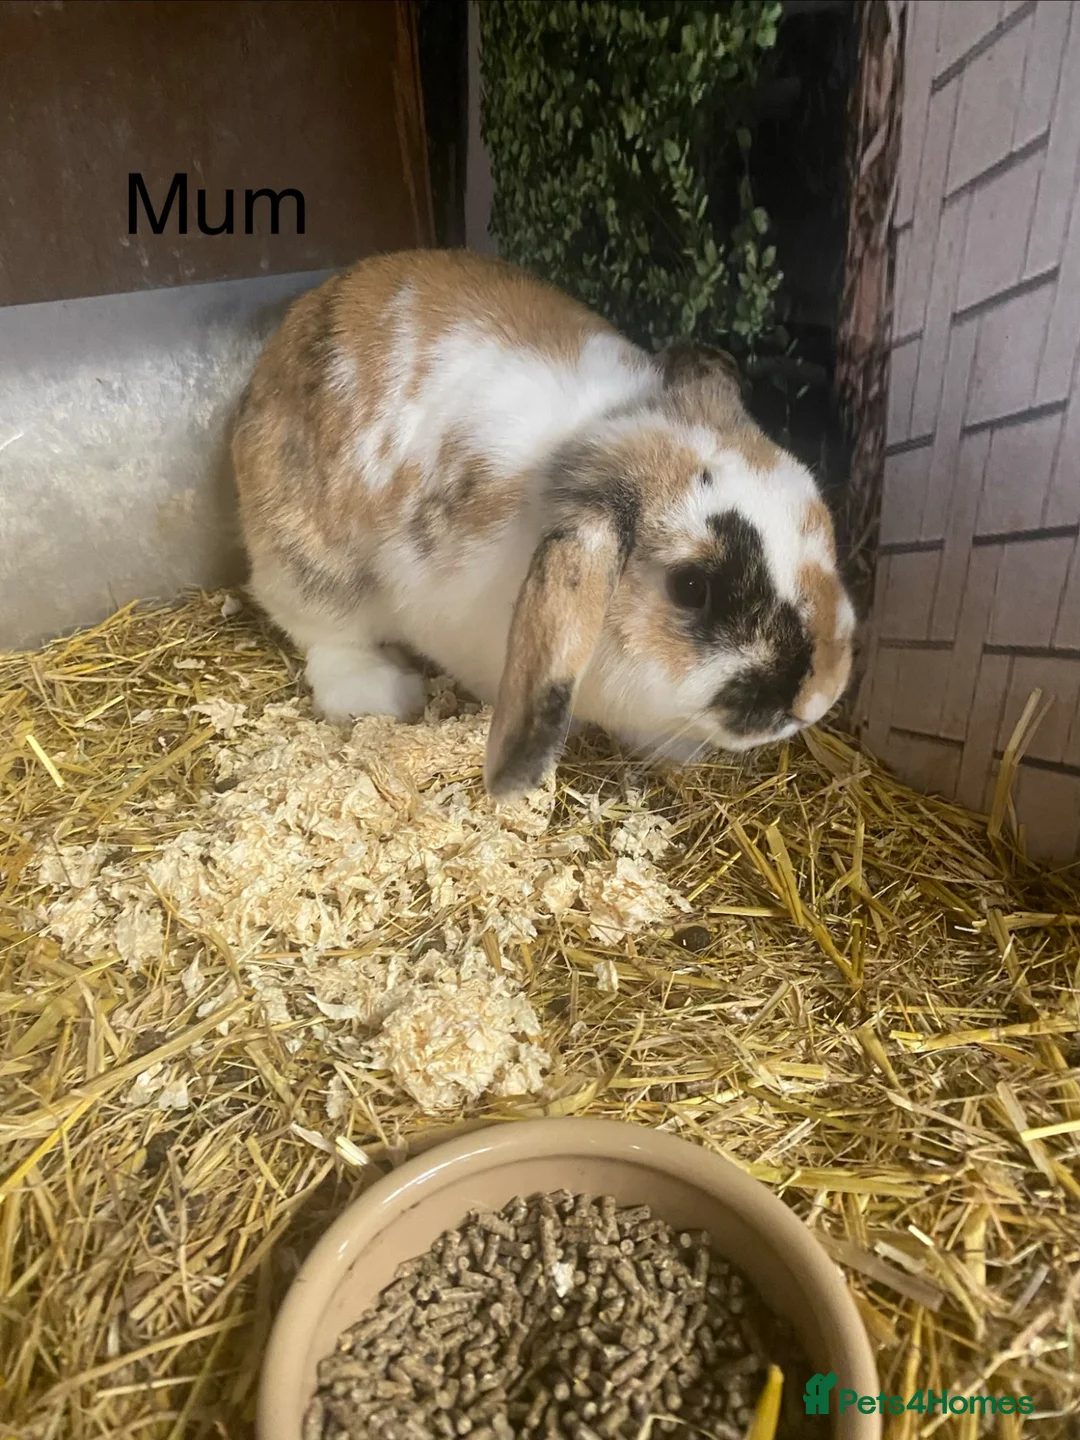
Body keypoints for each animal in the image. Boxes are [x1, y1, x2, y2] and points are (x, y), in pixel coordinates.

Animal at [232, 249, 855, 801]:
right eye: (690, 586)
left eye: (819, 513)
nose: (820, 696)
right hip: (311, 570)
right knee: (323, 638)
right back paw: (385, 692)